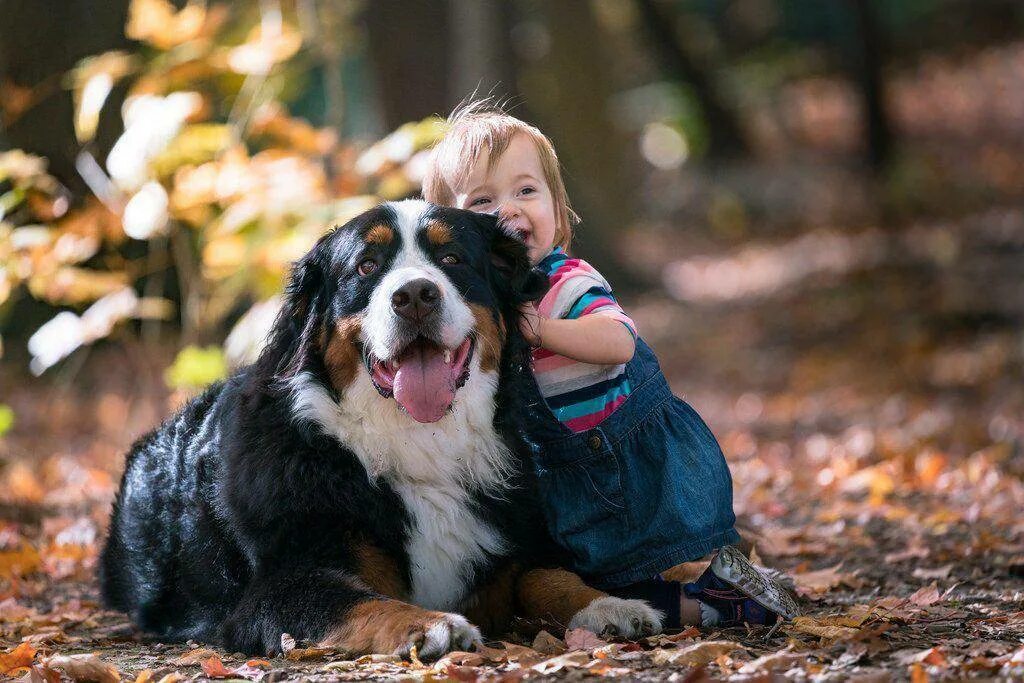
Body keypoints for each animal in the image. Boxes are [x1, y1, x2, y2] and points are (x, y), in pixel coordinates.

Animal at [99, 201, 659, 655]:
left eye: (452, 259)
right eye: (366, 266)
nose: (414, 294)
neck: (419, 441)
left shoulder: (511, 545)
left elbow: (545, 575)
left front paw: (610, 605)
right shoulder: (281, 585)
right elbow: (354, 602)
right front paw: (432, 626)